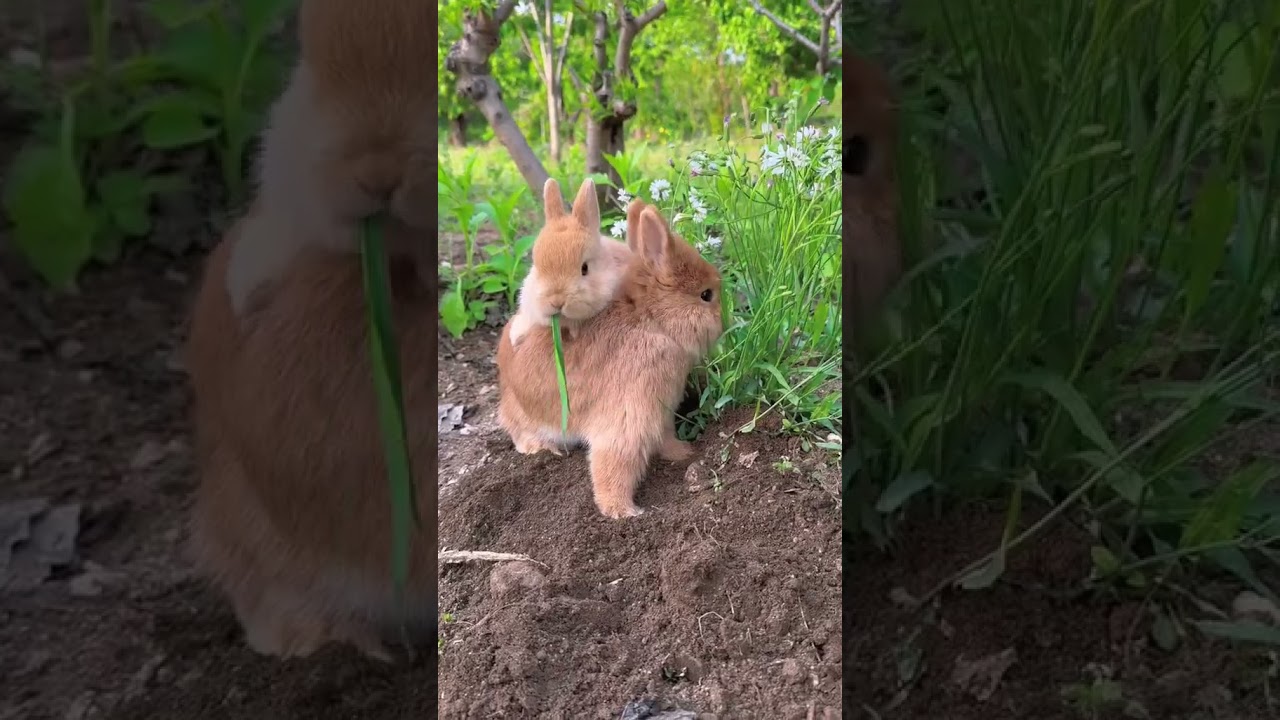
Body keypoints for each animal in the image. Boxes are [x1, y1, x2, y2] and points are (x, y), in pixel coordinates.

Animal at [496, 200, 724, 519]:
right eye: (705, 295)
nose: (723, 323)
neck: (649, 320)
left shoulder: (661, 412)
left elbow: (665, 439)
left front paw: (684, 452)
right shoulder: (632, 409)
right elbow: (616, 460)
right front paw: (623, 511)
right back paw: (542, 448)